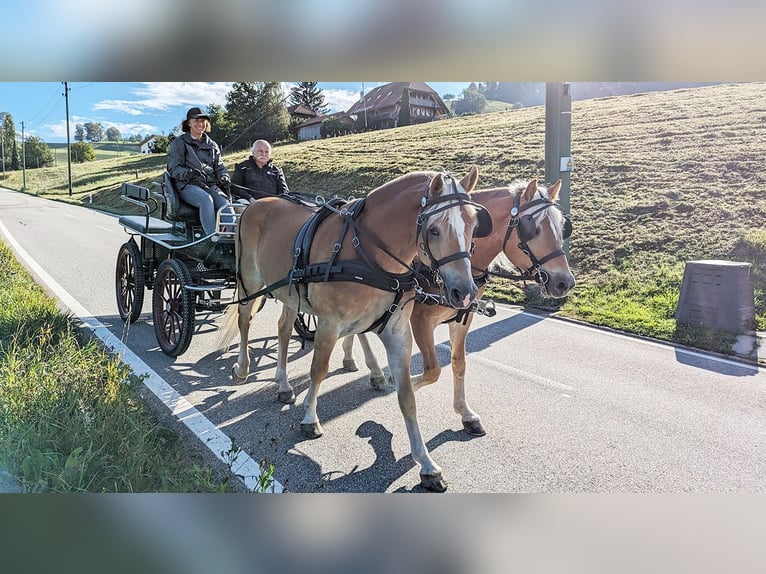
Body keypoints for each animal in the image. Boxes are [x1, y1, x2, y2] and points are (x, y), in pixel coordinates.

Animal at [216, 166, 492, 496]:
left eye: (473, 225)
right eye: (435, 230)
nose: (465, 292)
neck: (367, 253)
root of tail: (252, 205)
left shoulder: (398, 332)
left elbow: (407, 396)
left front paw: (426, 464)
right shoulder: (329, 324)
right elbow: (318, 370)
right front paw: (310, 417)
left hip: (289, 293)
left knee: (283, 330)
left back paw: (282, 384)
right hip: (250, 281)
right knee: (245, 320)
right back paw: (243, 368)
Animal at [342, 178, 576, 434]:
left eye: (562, 226)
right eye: (533, 228)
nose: (565, 282)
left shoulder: (462, 318)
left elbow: (459, 363)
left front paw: (465, 413)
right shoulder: (420, 320)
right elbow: (433, 370)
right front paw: (407, 385)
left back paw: (351, 358)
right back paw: (375, 371)